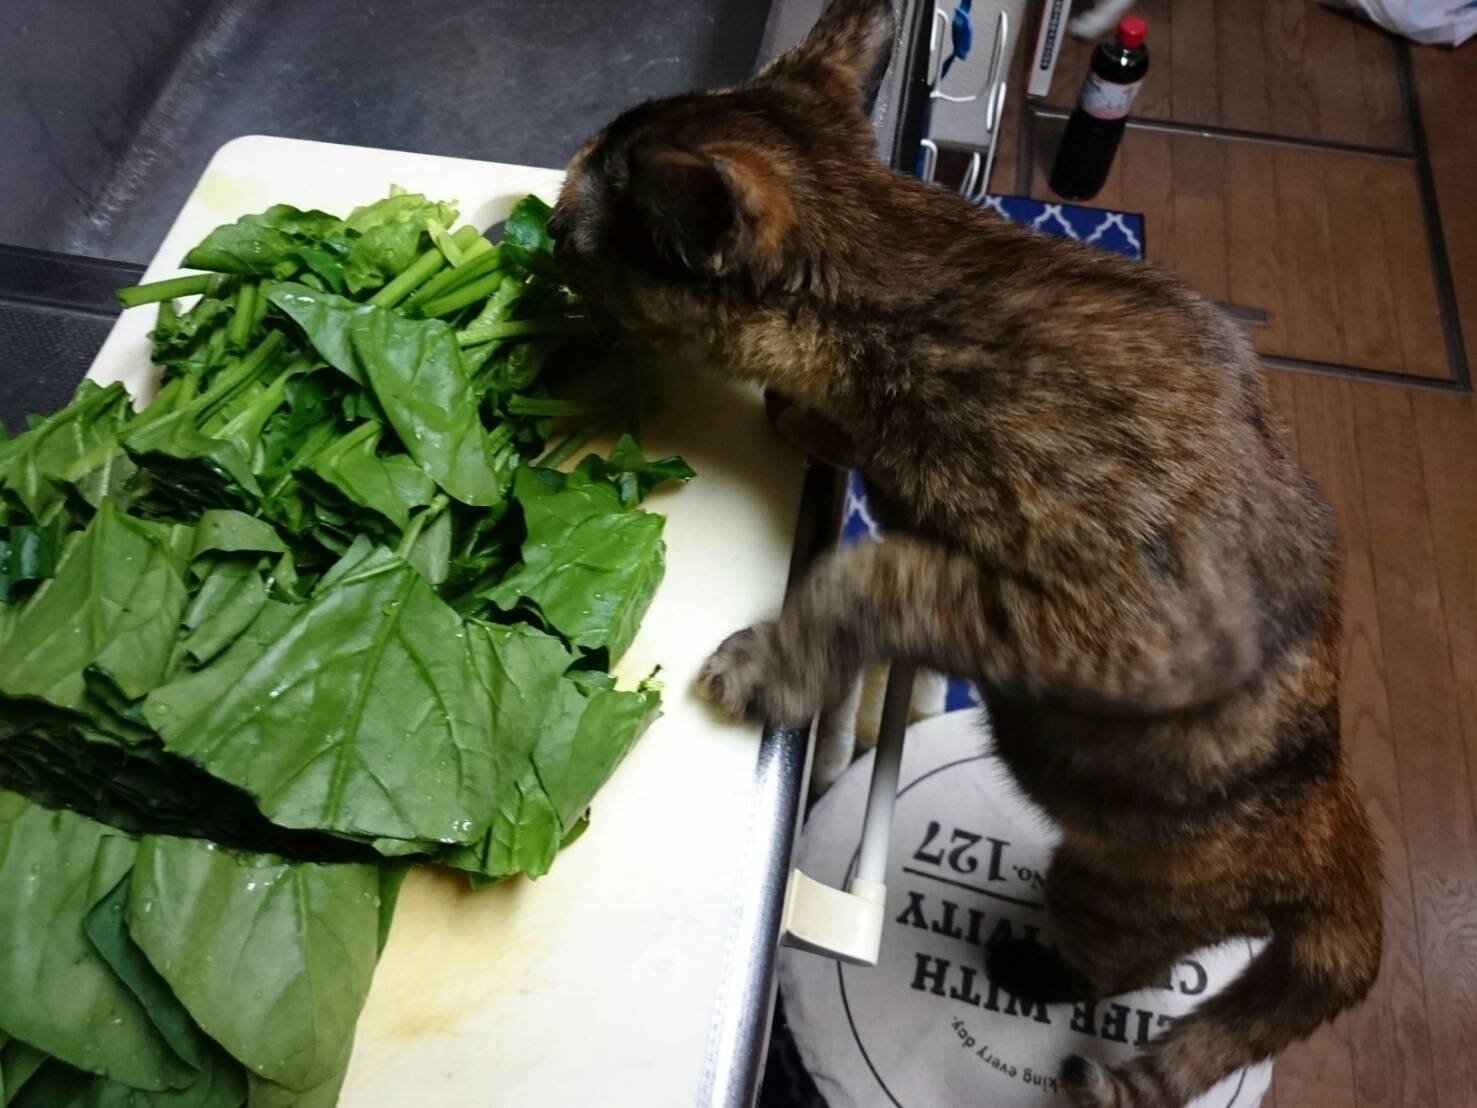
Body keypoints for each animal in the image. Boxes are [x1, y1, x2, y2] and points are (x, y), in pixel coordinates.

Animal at [547, 2, 1383, 1105]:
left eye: (569, 229)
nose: (534, 226)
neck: (929, 269)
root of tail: (1339, 836)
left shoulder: (1137, 627)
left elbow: (872, 570)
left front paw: (771, 666)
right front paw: (804, 419)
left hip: (1108, 889)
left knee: (1114, 963)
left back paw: (1027, 964)